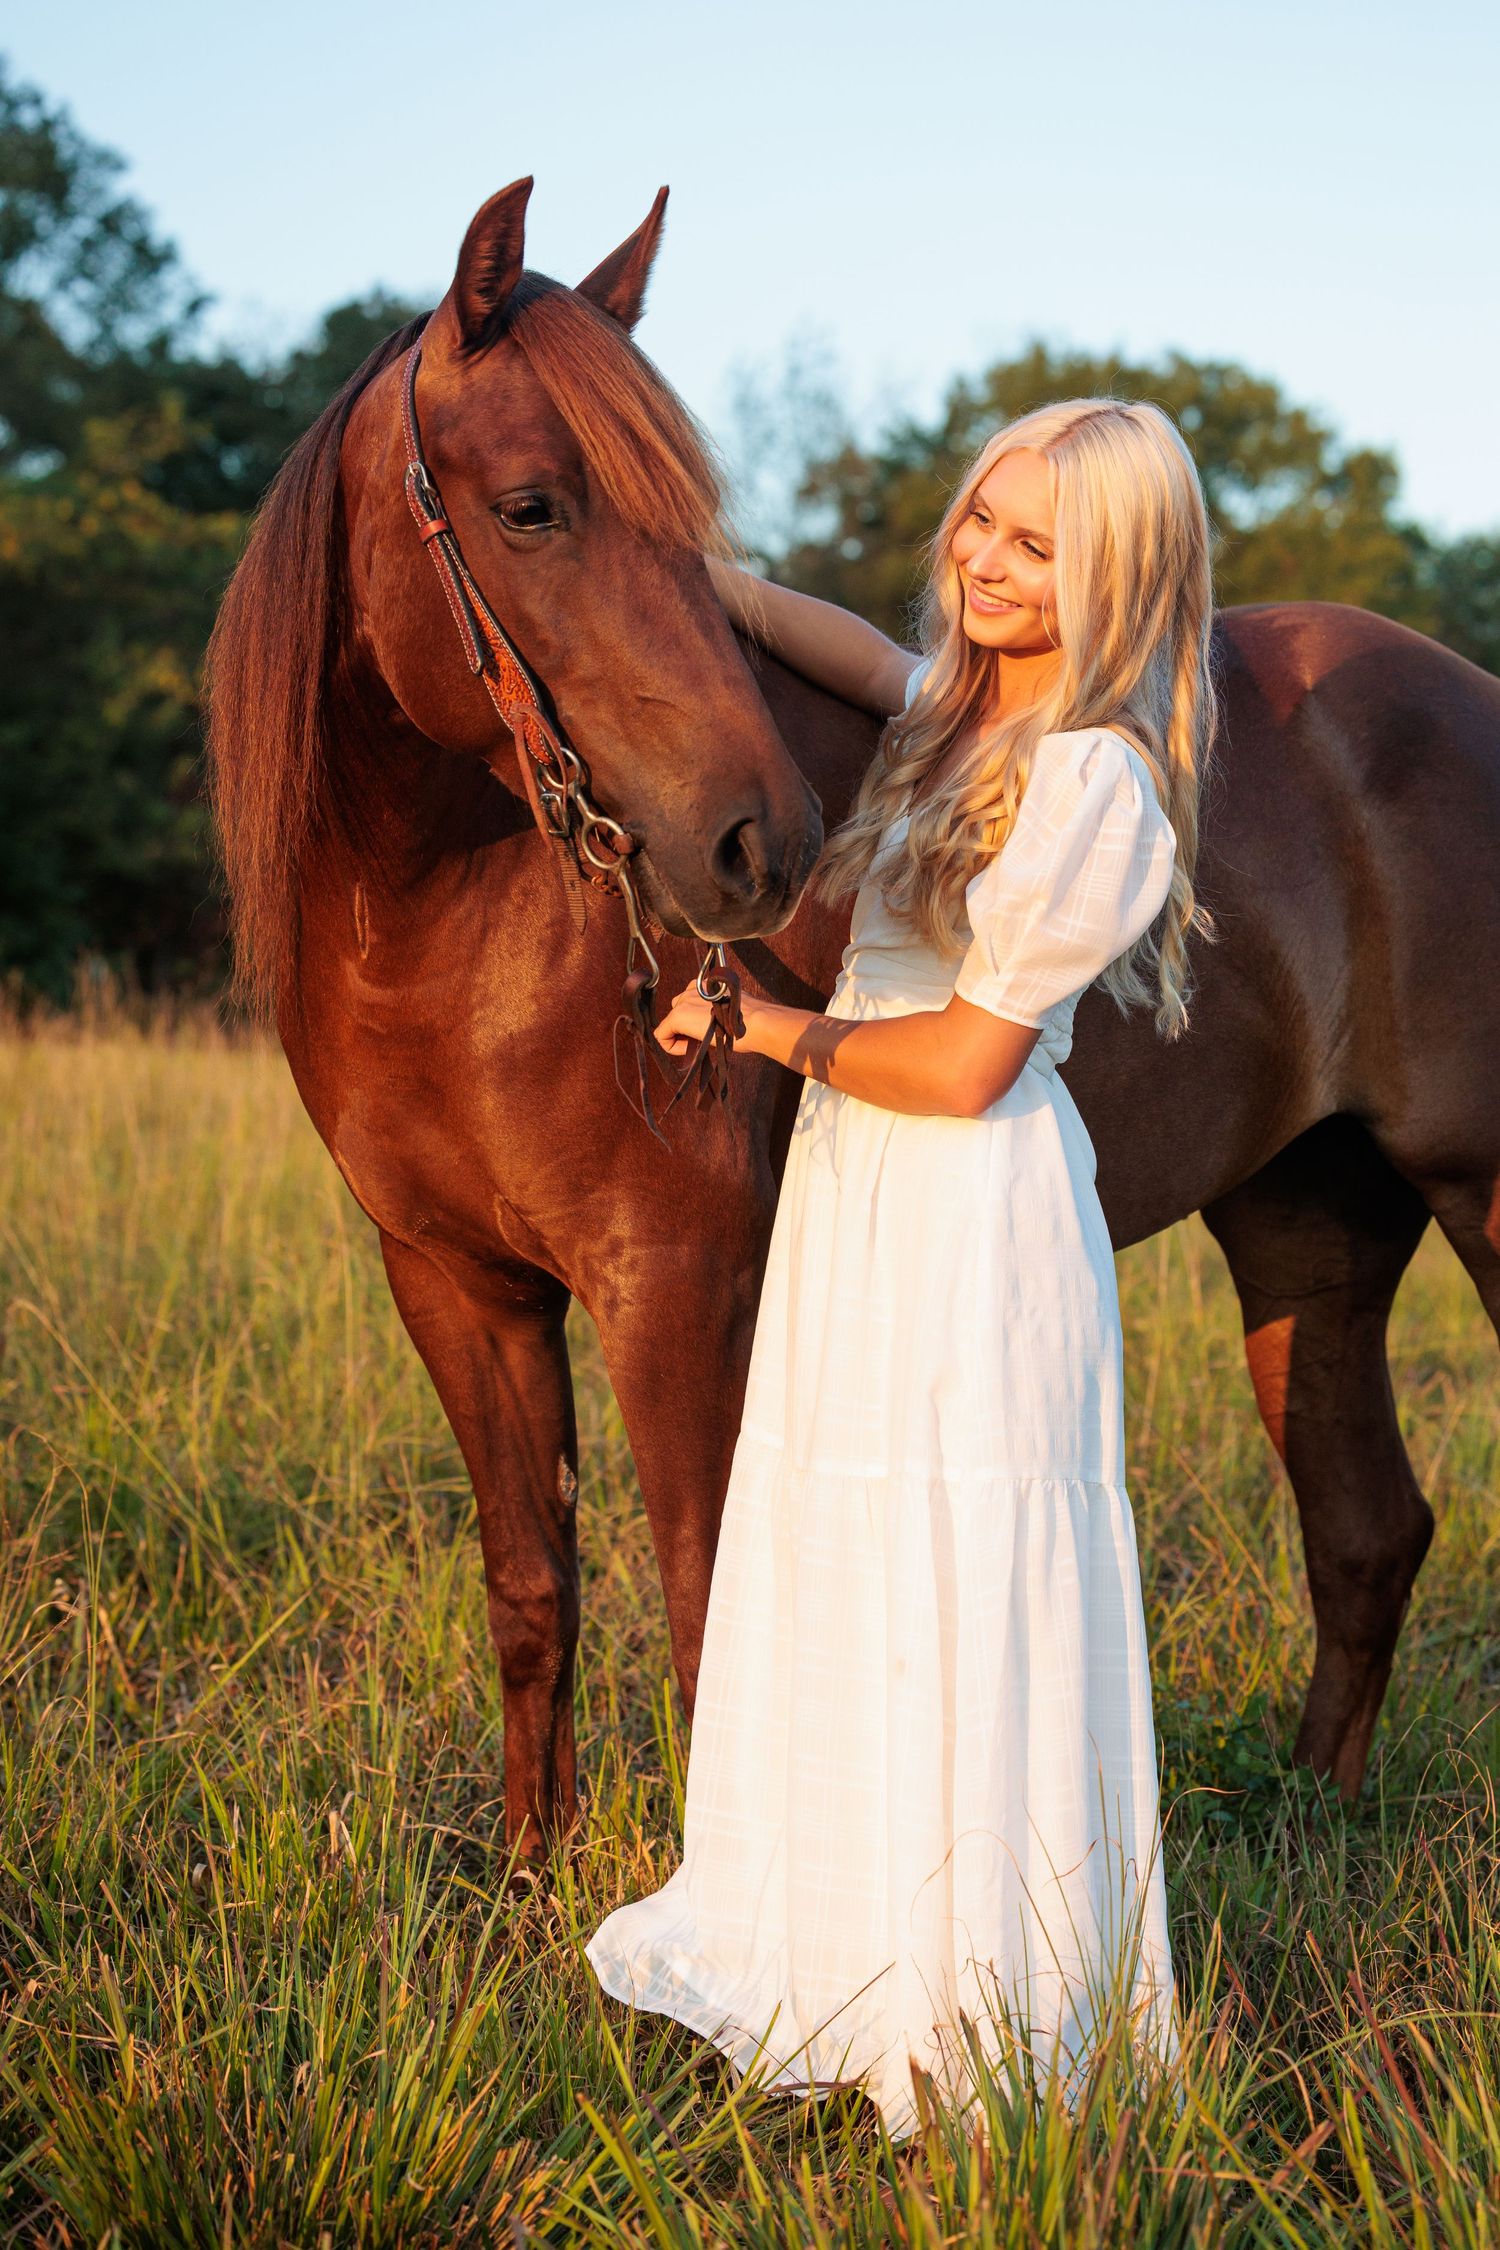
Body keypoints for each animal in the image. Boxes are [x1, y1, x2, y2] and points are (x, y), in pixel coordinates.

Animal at [207, 178, 1500, 1871]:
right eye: (531, 507)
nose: (759, 842)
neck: (454, 938)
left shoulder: (673, 1284)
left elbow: (704, 1603)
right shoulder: (454, 1285)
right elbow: (532, 1589)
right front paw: (531, 1878)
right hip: (1308, 1227)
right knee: (1366, 1530)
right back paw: (1314, 1822)